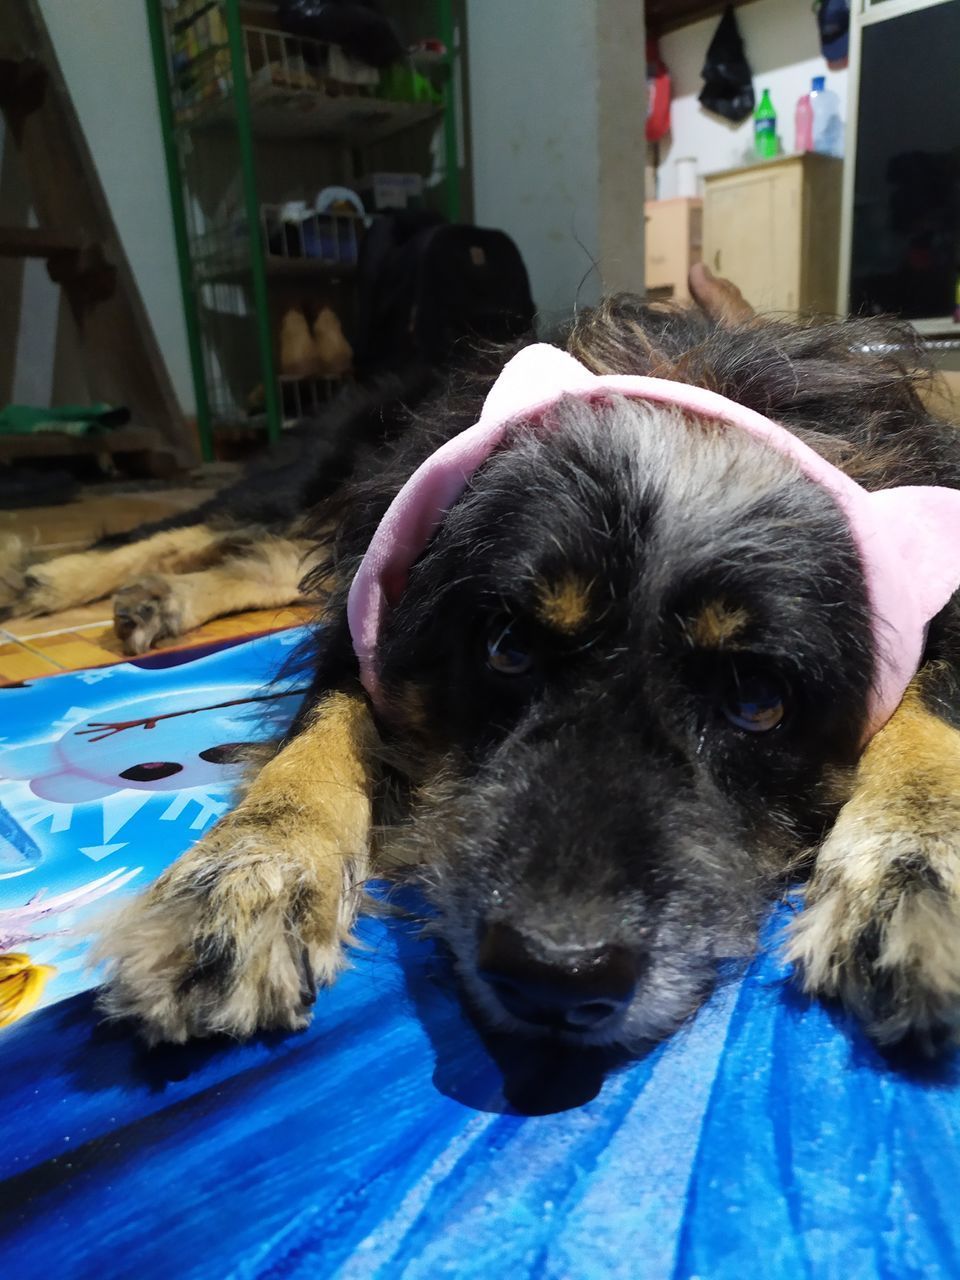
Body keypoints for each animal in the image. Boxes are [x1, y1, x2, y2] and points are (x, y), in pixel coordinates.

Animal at [18, 267, 960, 1049]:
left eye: (759, 701)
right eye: (507, 648)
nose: (554, 978)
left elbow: (928, 707)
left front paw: (918, 862)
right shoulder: (371, 600)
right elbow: (316, 736)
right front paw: (241, 881)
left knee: (256, 556)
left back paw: (153, 598)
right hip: (312, 480)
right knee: (191, 524)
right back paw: (44, 573)